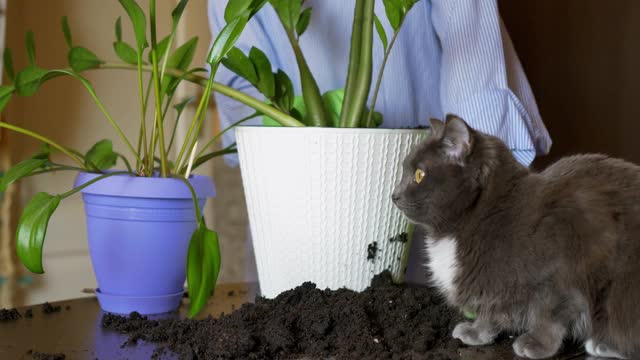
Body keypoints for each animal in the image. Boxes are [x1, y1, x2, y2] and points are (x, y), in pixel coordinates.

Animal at [390, 114, 640, 358]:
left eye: (419, 175)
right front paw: (476, 333)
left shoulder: (562, 278)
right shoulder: (493, 285)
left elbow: (549, 316)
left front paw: (537, 344)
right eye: (403, 171)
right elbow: (490, 313)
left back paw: (604, 345)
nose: (394, 195)